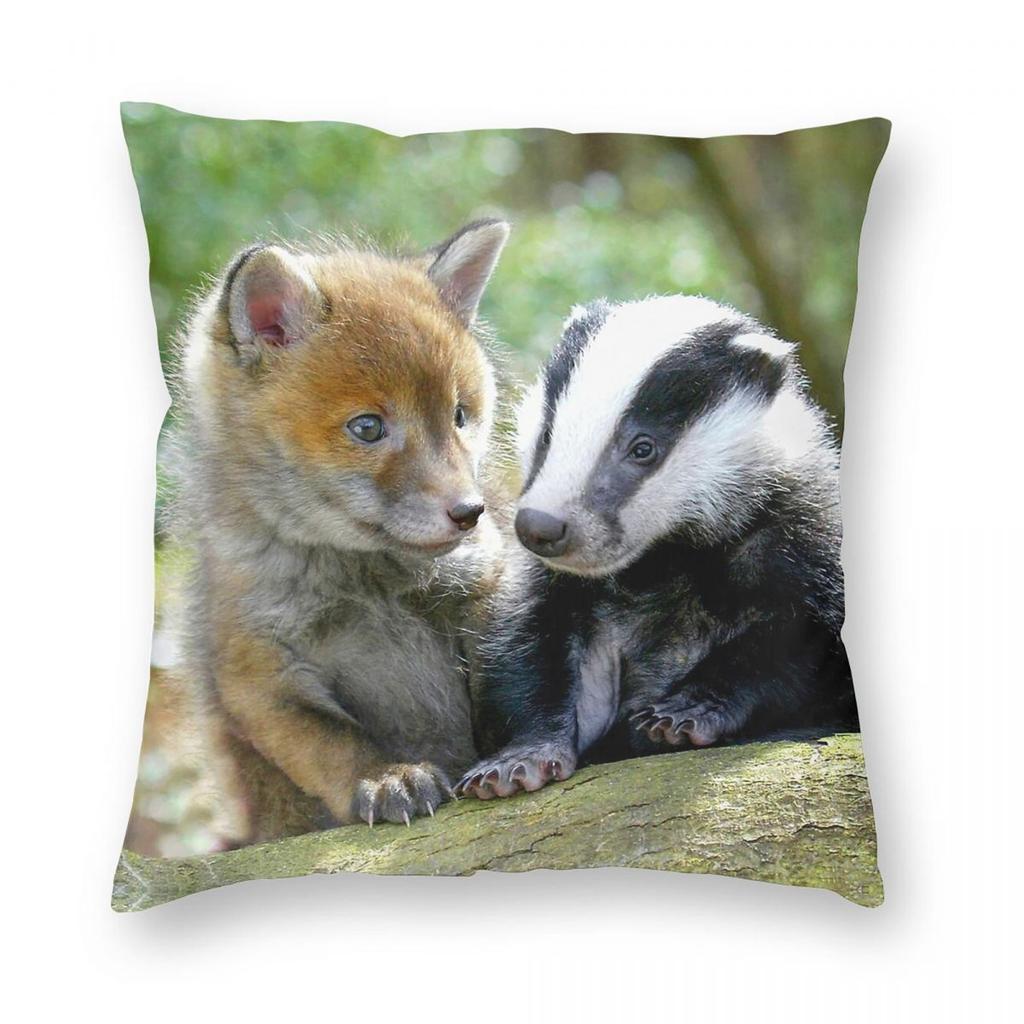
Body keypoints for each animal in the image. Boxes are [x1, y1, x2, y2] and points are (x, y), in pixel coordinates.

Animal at [172, 220, 510, 841]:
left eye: (460, 416)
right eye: (368, 428)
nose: (470, 511)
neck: (362, 580)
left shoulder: (486, 587)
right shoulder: (258, 674)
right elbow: (332, 744)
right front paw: (387, 776)